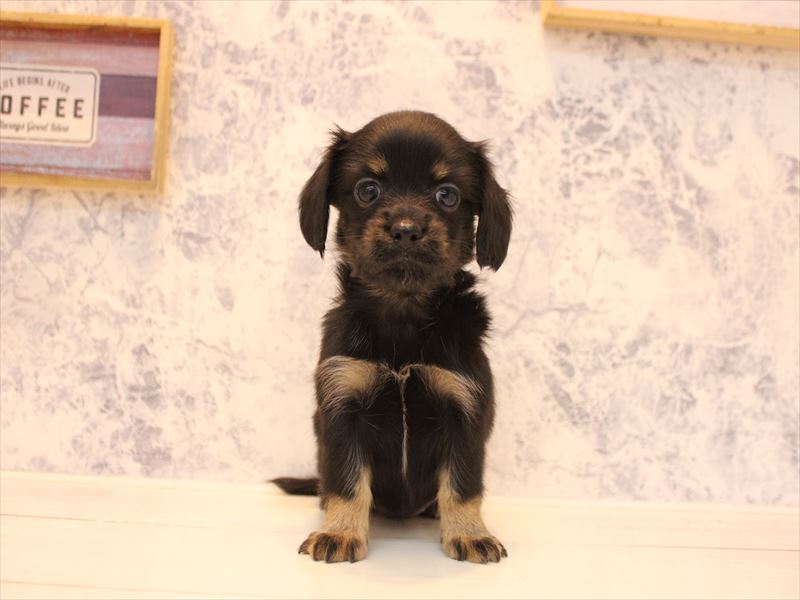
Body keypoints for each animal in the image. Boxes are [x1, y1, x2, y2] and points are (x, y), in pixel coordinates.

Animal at [273, 111, 512, 564]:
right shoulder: (344, 405)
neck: (403, 312)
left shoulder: (465, 408)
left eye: (447, 195)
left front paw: (470, 534)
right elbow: (347, 481)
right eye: (368, 189)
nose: (406, 229)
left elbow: (462, 484)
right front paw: (340, 532)